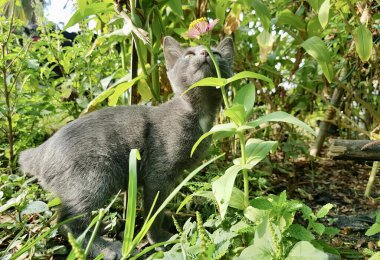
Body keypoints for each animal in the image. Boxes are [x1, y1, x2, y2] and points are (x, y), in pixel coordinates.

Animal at [19, 36, 233, 258]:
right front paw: (159, 239)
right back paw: (107, 248)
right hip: (95, 176)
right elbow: (153, 211)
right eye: (189, 54)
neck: (199, 113)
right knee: (67, 223)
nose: (205, 53)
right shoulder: (157, 175)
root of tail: (39, 151)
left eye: (217, 53)